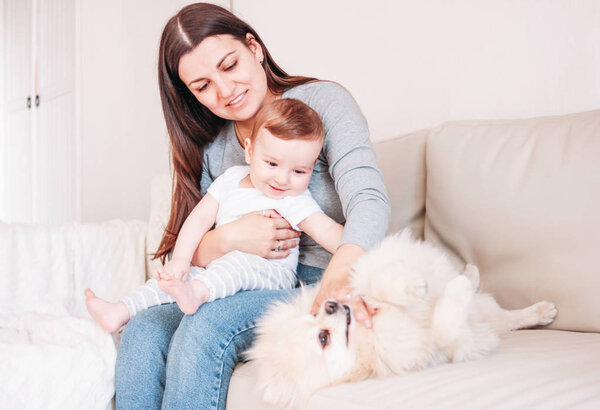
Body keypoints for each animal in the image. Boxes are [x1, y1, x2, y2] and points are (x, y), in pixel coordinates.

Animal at [245, 229, 556, 406]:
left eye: (315, 313)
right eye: (323, 338)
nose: (331, 305)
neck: (370, 332)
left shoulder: (365, 278)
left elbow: (380, 281)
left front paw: (412, 288)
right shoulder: (447, 344)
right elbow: (445, 320)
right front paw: (454, 290)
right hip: (486, 317)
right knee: (505, 318)